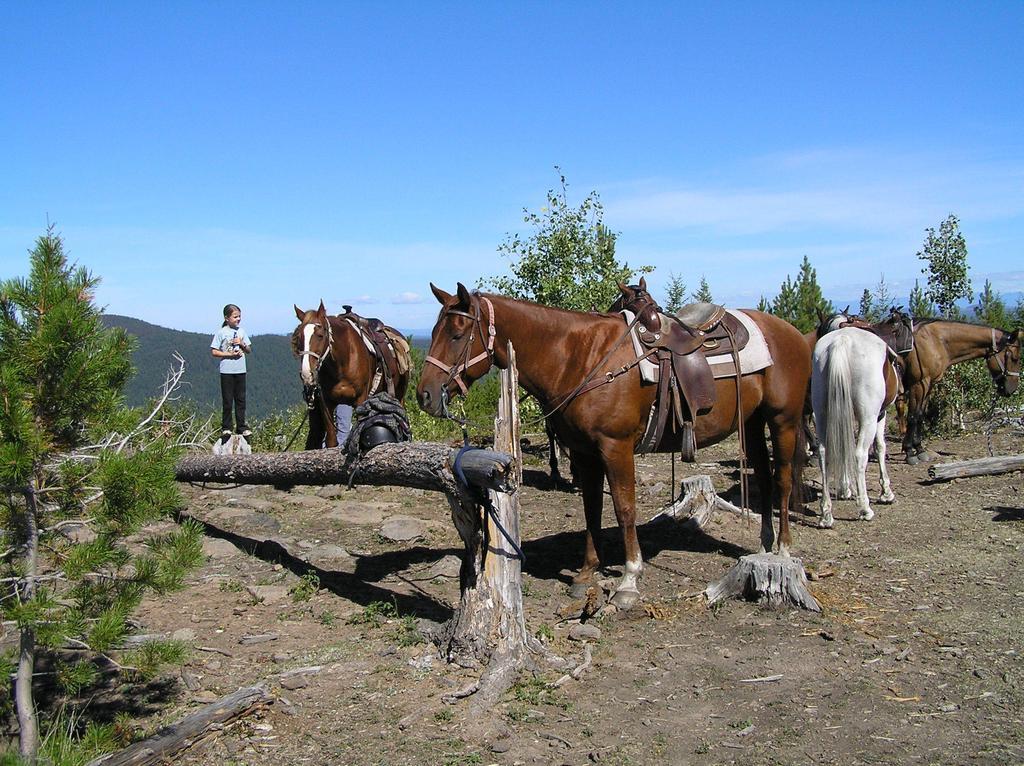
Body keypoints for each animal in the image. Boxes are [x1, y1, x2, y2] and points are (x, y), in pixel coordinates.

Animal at [290, 301, 409, 448]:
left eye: (320, 335)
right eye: (299, 338)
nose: (307, 374)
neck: (343, 363)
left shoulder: (361, 400)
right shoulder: (326, 403)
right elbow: (331, 440)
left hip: (399, 394)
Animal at [415, 280, 806, 610]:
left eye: (456, 334)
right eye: (432, 332)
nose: (425, 395)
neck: (580, 357)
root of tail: (790, 332)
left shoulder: (616, 448)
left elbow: (623, 508)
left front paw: (629, 581)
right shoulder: (585, 453)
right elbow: (592, 508)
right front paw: (587, 572)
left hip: (783, 421)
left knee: (784, 480)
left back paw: (784, 549)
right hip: (752, 422)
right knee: (765, 480)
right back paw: (764, 544)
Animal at [811, 329, 901, 528]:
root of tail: (842, 340)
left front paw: (845, 489)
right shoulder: (880, 415)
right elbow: (880, 447)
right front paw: (886, 493)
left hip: (821, 415)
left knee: (823, 453)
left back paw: (826, 514)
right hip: (868, 419)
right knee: (860, 455)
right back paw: (865, 509)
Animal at [905, 319, 1015, 462]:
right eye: (1013, 357)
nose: (1012, 389)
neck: (934, 341)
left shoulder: (928, 385)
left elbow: (920, 415)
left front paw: (919, 450)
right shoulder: (917, 385)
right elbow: (912, 416)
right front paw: (909, 453)